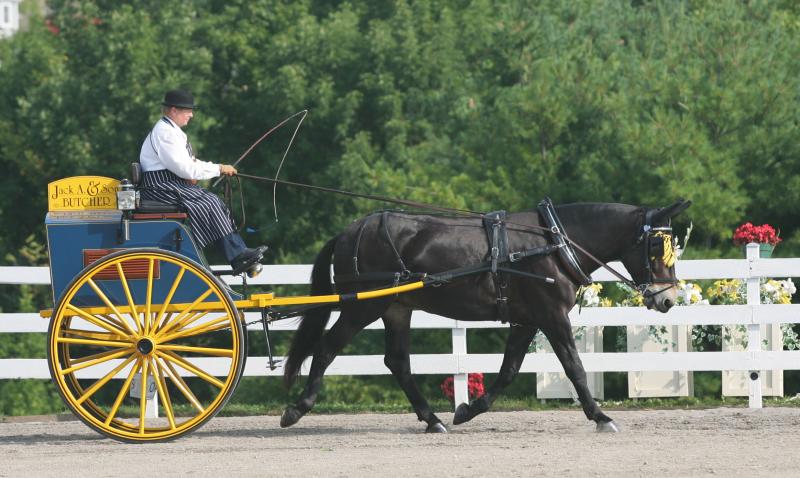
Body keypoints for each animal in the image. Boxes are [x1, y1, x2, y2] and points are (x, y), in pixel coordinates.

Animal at [280, 199, 688, 434]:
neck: (554, 243)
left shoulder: (527, 319)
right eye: (657, 246)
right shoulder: (552, 315)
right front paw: (601, 416)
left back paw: (433, 420)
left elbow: (508, 370)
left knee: (397, 362)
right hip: (363, 306)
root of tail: (351, 231)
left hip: (396, 308)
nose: (668, 299)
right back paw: (297, 409)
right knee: (327, 349)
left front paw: (468, 410)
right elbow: (574, 366)